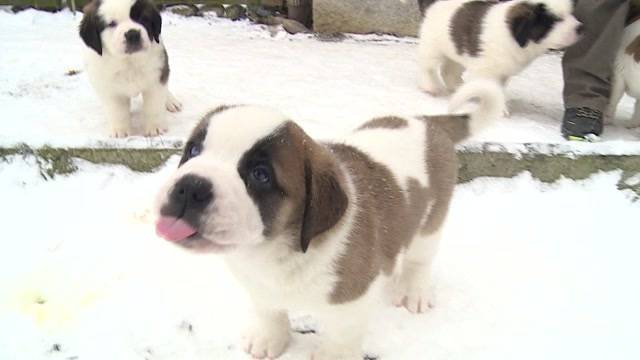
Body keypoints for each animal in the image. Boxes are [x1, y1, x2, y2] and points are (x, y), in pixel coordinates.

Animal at [79, 0, 181, 138]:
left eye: (142, 19)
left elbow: (154, 105)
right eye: (112, 24)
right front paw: (120, 130)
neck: (129, 62)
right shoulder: (109, 88)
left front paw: (155, 127)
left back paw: (171, 101)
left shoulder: (156, 77)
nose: (132, 34)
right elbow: (117, 111)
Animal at [154, 80, 504, 358]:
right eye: (193, 151)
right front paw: (269, 339)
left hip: (430, 224)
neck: (275, 250)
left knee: (420, 259)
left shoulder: (350, 302)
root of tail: (425, 122)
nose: (190, 188)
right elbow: (269, 311)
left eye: (260, 175)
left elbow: (340, 338)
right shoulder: (259, 287)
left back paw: (414, 292)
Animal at [418, 0, 584, 102]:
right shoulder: (486, 70)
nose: (580, 27)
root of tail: (435, 3)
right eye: (555, 19)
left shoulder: (503, 73)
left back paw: (459, 88)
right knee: (427, 66)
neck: (512, 36)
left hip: (456, 50)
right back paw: (430, 87)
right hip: (433, 46)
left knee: (449, 70)